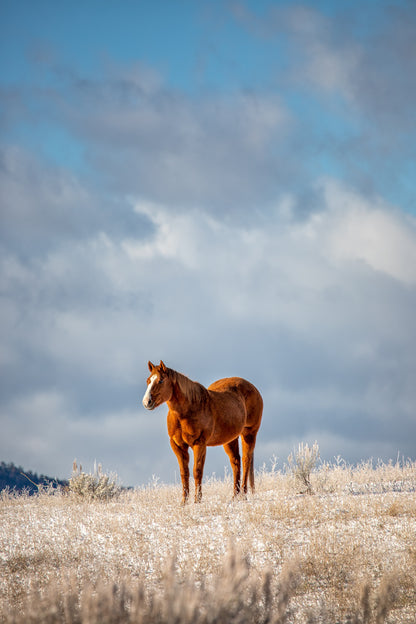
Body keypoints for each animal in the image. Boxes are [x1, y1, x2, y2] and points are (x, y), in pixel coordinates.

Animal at [141, 360, 262, 502]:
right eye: (148, 380)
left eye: (160, 380)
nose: (146, 402)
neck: (187, 411)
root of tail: (253, 388)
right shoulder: (178, 445)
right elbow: (184, 473)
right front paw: (184, 502)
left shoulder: (199, 444)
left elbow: (197, 471)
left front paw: (197, 501)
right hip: (230, 439)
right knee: (236, 462)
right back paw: (235, 496)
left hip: (249, 433)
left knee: (246, 460)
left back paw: (243, 495)